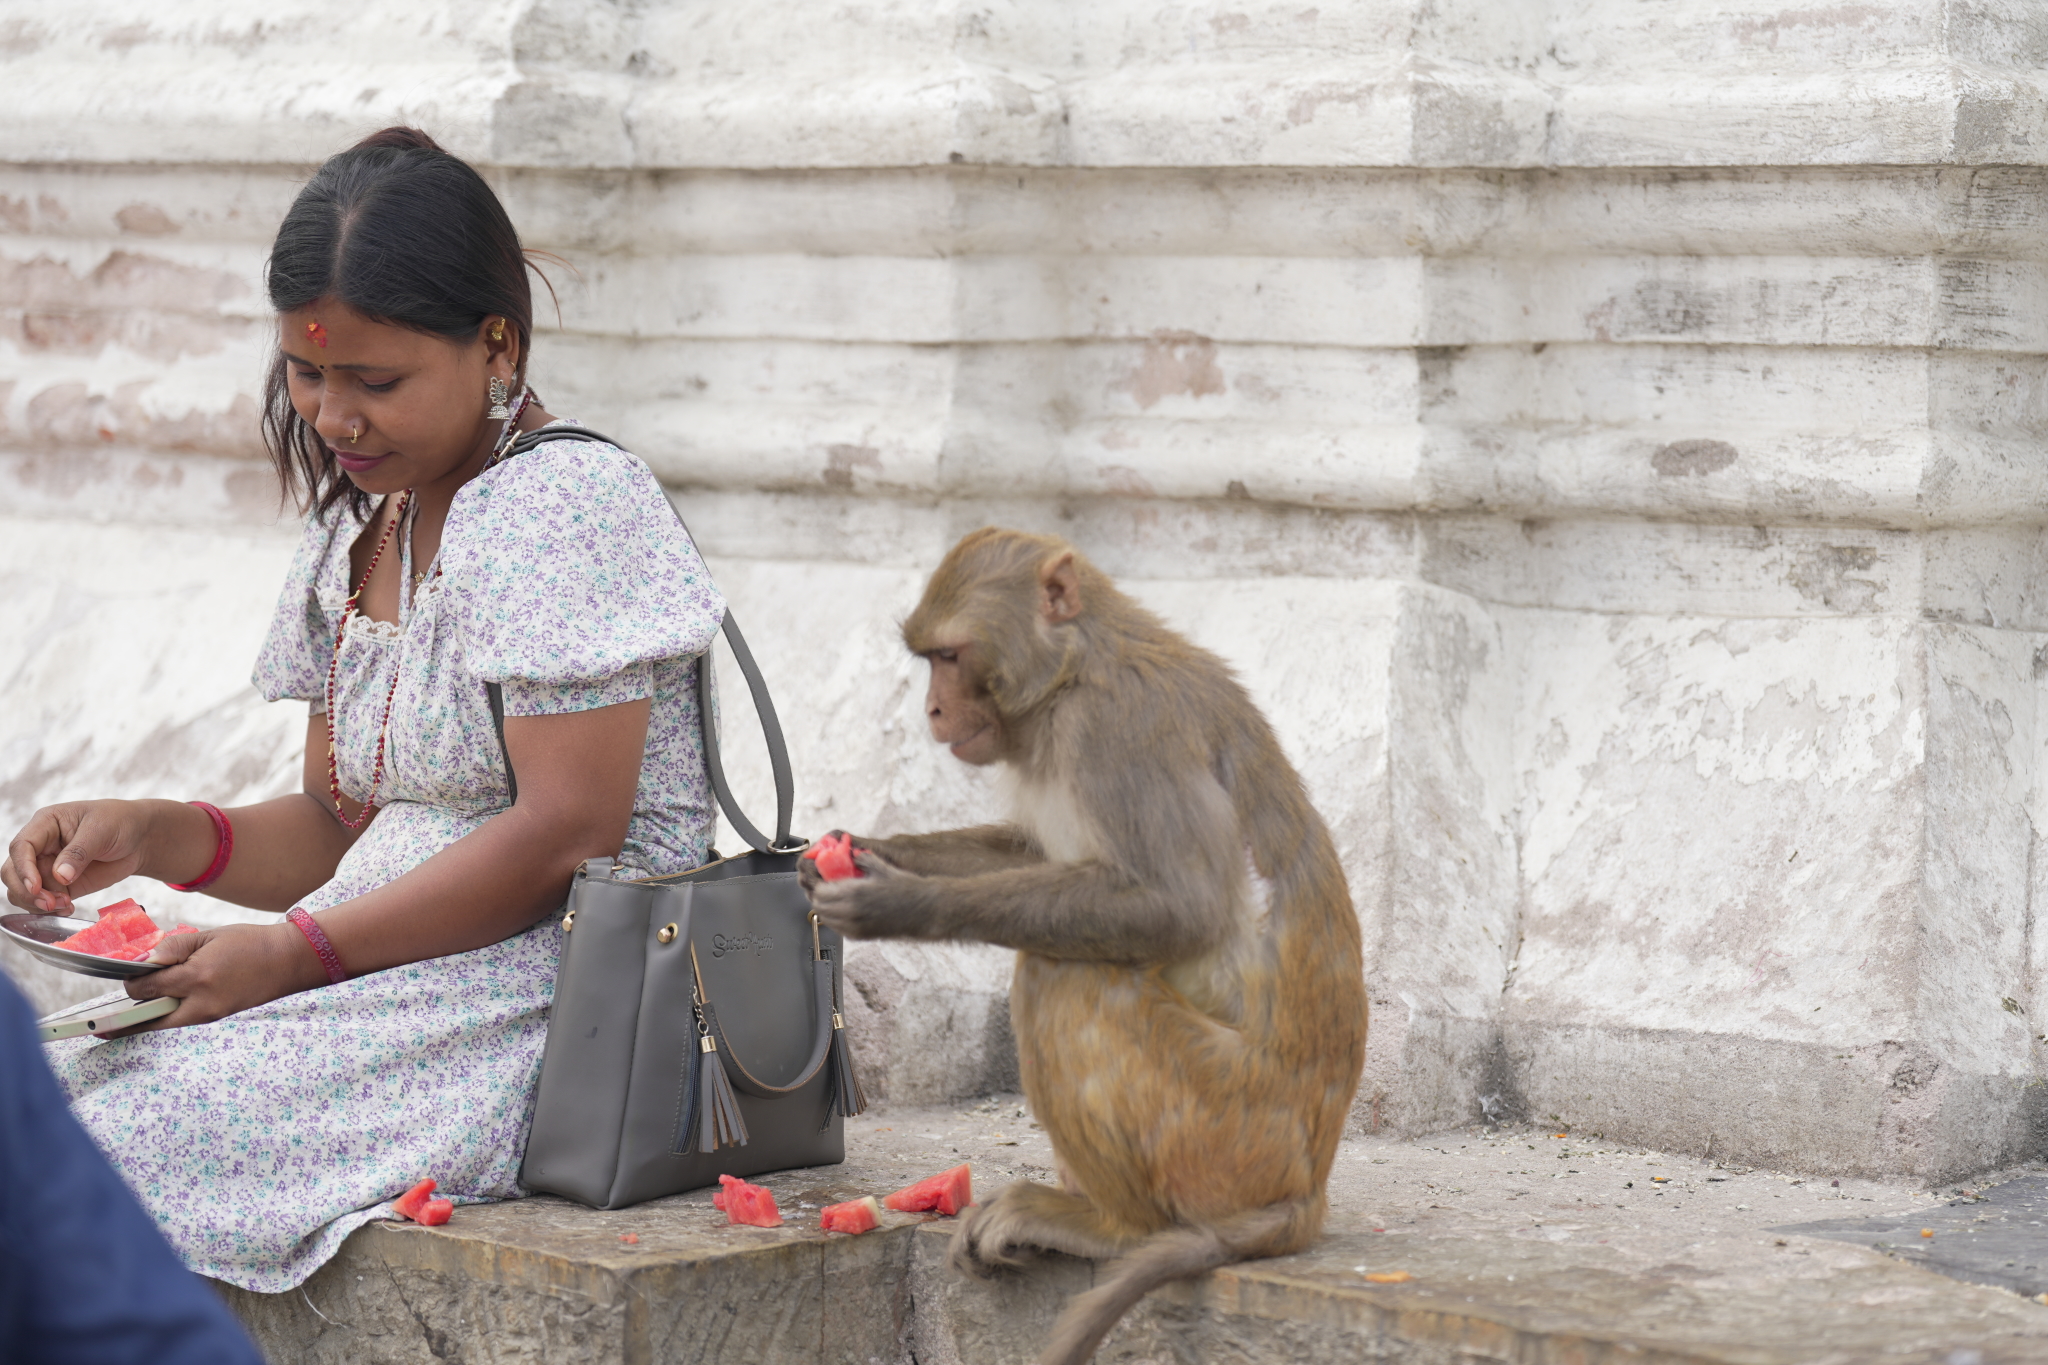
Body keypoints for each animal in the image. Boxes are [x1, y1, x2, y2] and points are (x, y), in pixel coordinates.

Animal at [806, 527, 1368, 1365]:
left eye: (949, 655)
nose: (933, 708)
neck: (1069, 674)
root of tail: (1307, 1183)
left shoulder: (1117, 728)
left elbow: (1181, 906)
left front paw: (901, 901)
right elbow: (1030, 852)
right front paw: (866, 850)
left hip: (1222, 1133)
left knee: (1063, 972)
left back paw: (1111, 1223)